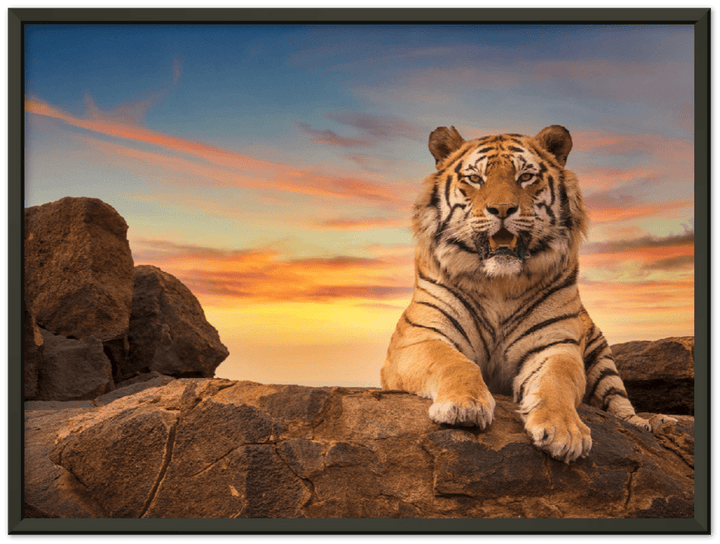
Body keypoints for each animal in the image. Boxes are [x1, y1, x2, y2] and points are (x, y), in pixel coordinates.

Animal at [381, 124, 661, 463]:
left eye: (525, 176)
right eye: (475, 178)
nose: (502, 209)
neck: (498, 284)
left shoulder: (555, 346)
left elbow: (557, 381)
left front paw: (564, 432)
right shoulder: (419, 337)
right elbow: (455, 363)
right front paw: (463, 406)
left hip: (602, 356)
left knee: (619, 400)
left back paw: (647, 423)